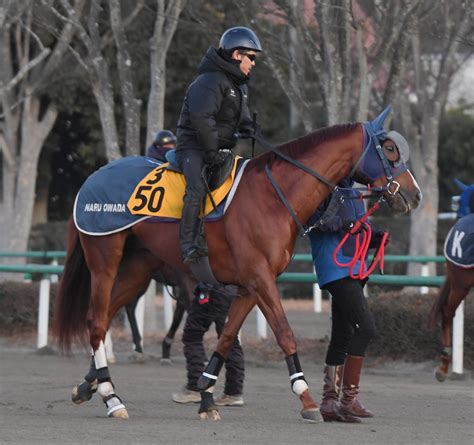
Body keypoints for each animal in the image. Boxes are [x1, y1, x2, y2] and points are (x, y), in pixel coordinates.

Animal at [53, 108, 420, 420]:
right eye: (389, 148)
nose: (414, 194)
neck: (272, 196)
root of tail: (92, 177)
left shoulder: (249, 286)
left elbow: (227, 337)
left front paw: (206, 394)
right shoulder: (261, 279)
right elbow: (285, 333)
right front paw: (306, 397)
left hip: (138, 268)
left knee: (103, 317)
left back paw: (89, 384)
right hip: (105, 259)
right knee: (96, 319)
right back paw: (111, 397)